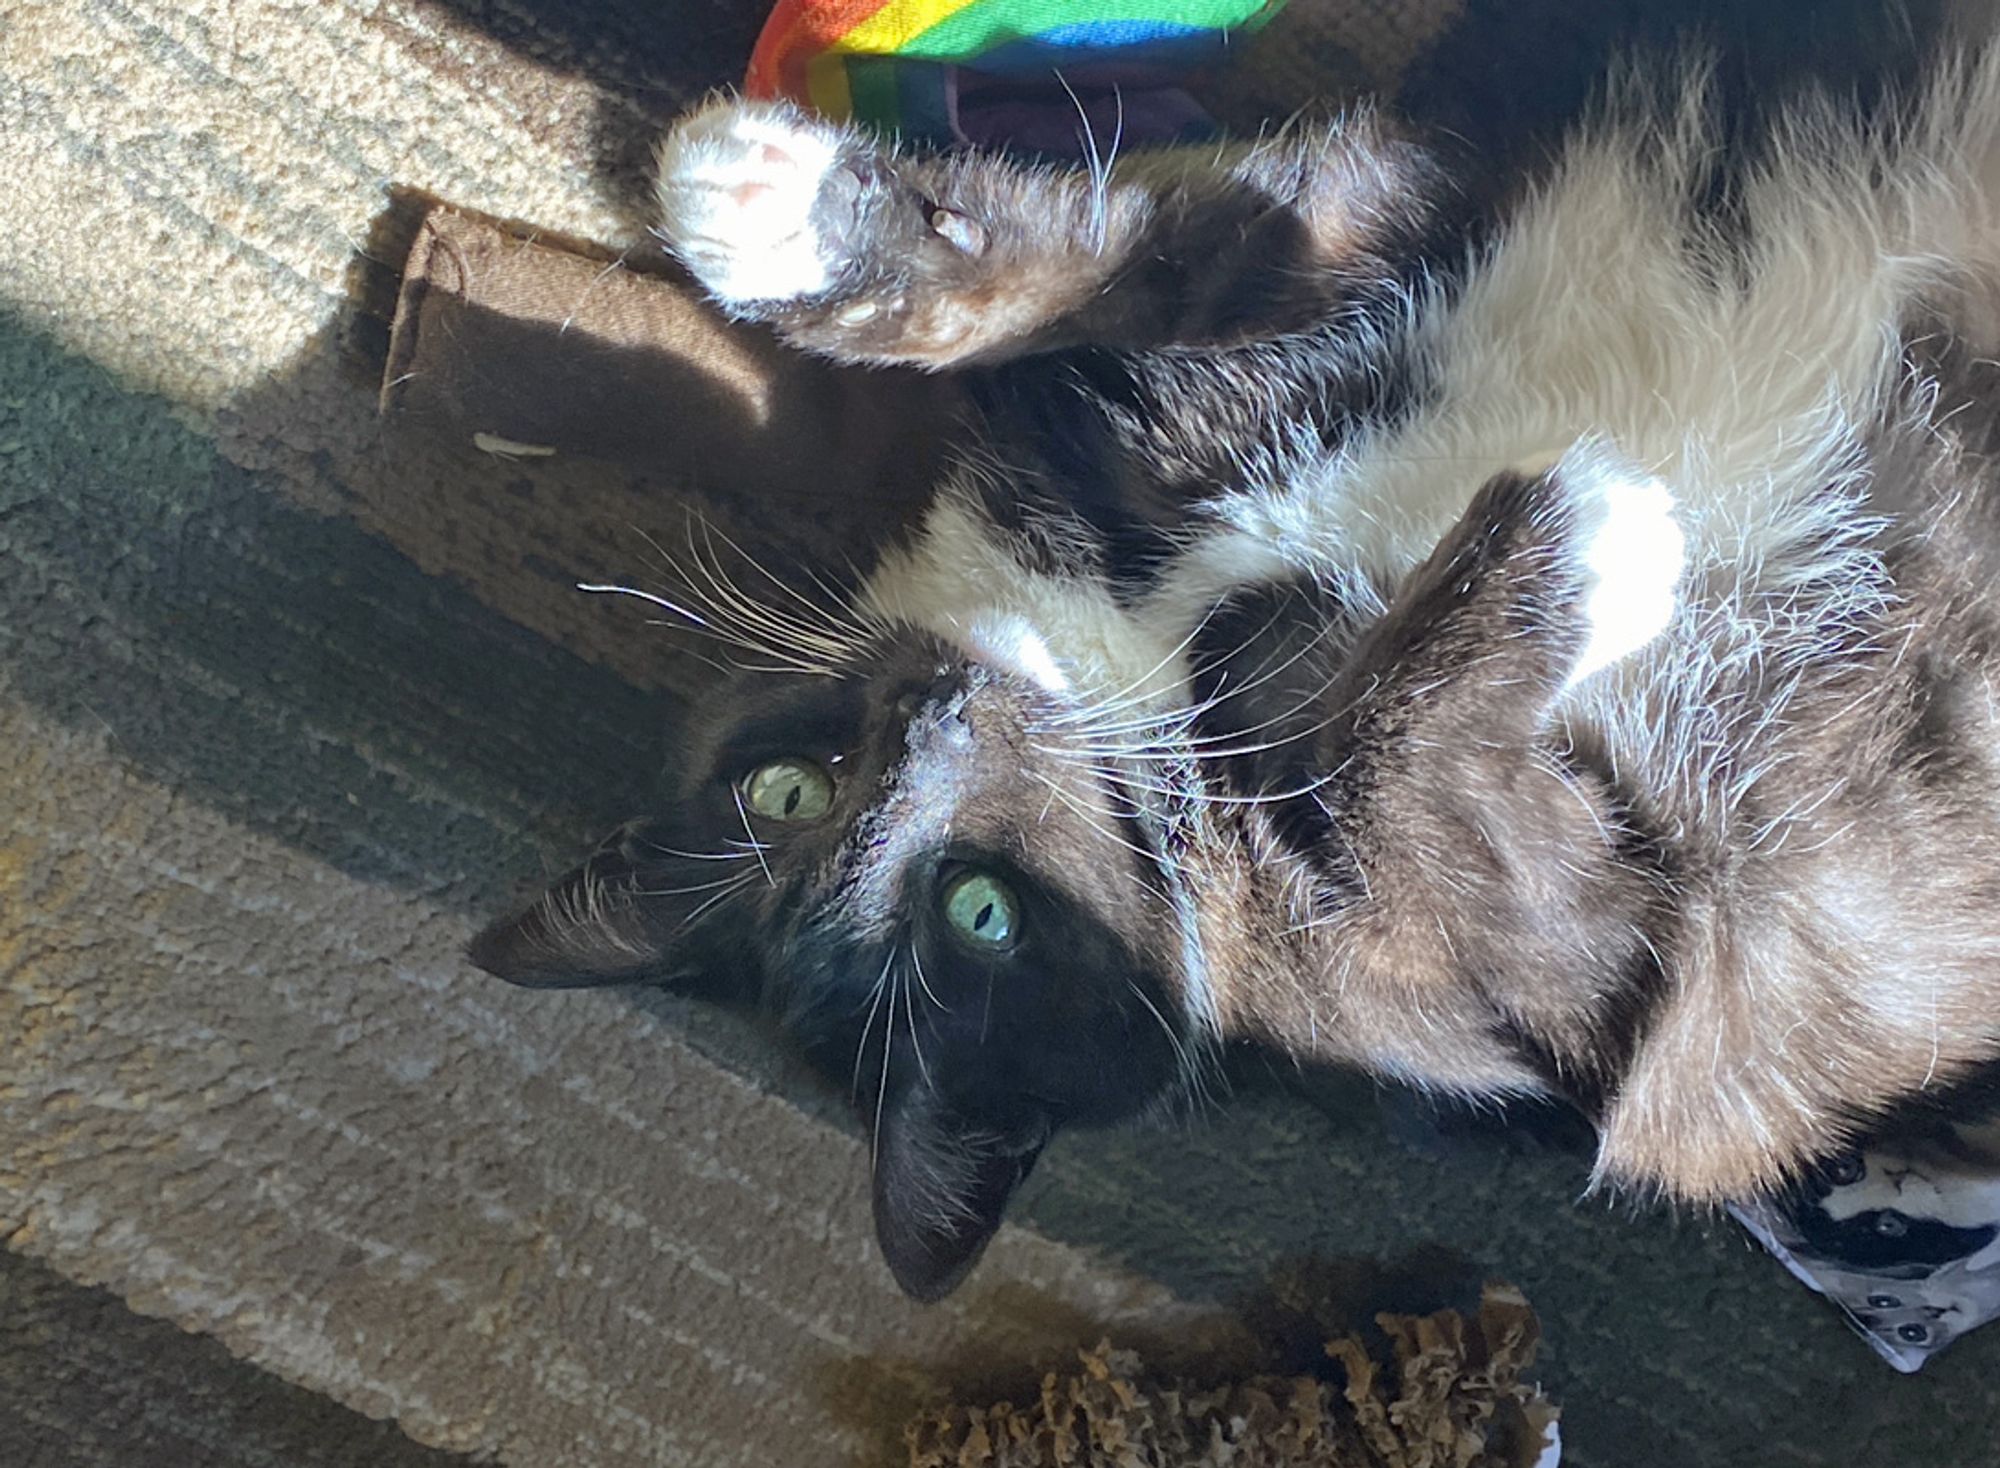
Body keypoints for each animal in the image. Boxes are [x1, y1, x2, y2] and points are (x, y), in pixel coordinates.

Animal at [472, 8, 2000, 1296]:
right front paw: (1591, 535)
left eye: (787, 786)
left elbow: (1145, 251)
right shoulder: (1603, 977)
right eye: (981, 915)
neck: (1133, 645)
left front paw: (773, 218)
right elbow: (1386, 767)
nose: (927, 723)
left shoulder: (1360, 233)